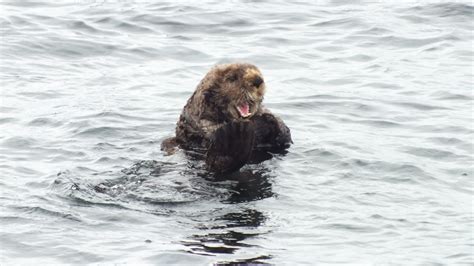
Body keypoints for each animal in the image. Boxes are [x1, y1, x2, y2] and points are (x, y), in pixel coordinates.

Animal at [161, 63, 290, 174]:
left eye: (259, 72)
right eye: (232, 78)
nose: (258, 80)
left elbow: (285, 134)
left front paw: (267, 120)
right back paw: (235, 138)